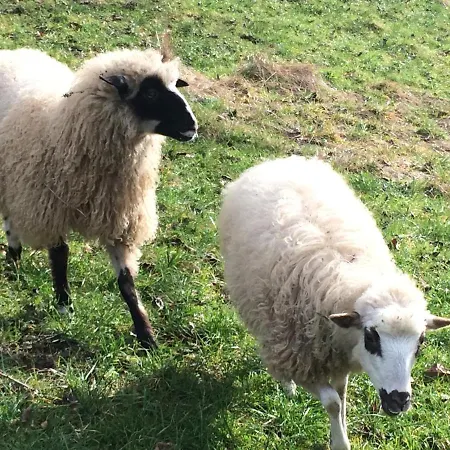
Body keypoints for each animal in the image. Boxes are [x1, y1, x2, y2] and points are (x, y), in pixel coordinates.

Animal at [0, 47, 198, 349]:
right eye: (150, 93)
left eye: (175, 85)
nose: (193, 126)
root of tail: (12, 52)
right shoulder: (50, 207)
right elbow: (60, 256)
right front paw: (64, 305)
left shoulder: (120, 219)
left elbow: (126, 282)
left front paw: (146, 334)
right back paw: (13, 255)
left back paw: (15, 259)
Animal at [218, 156, 450, 450]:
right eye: (371, 337)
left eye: (421, 342)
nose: (400, 399)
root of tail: (282, 160)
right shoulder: (301, 358)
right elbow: (331, 402)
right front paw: (339, 440)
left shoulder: (338, 358)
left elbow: (341, 396)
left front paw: (341, 435)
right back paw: (286, 384)